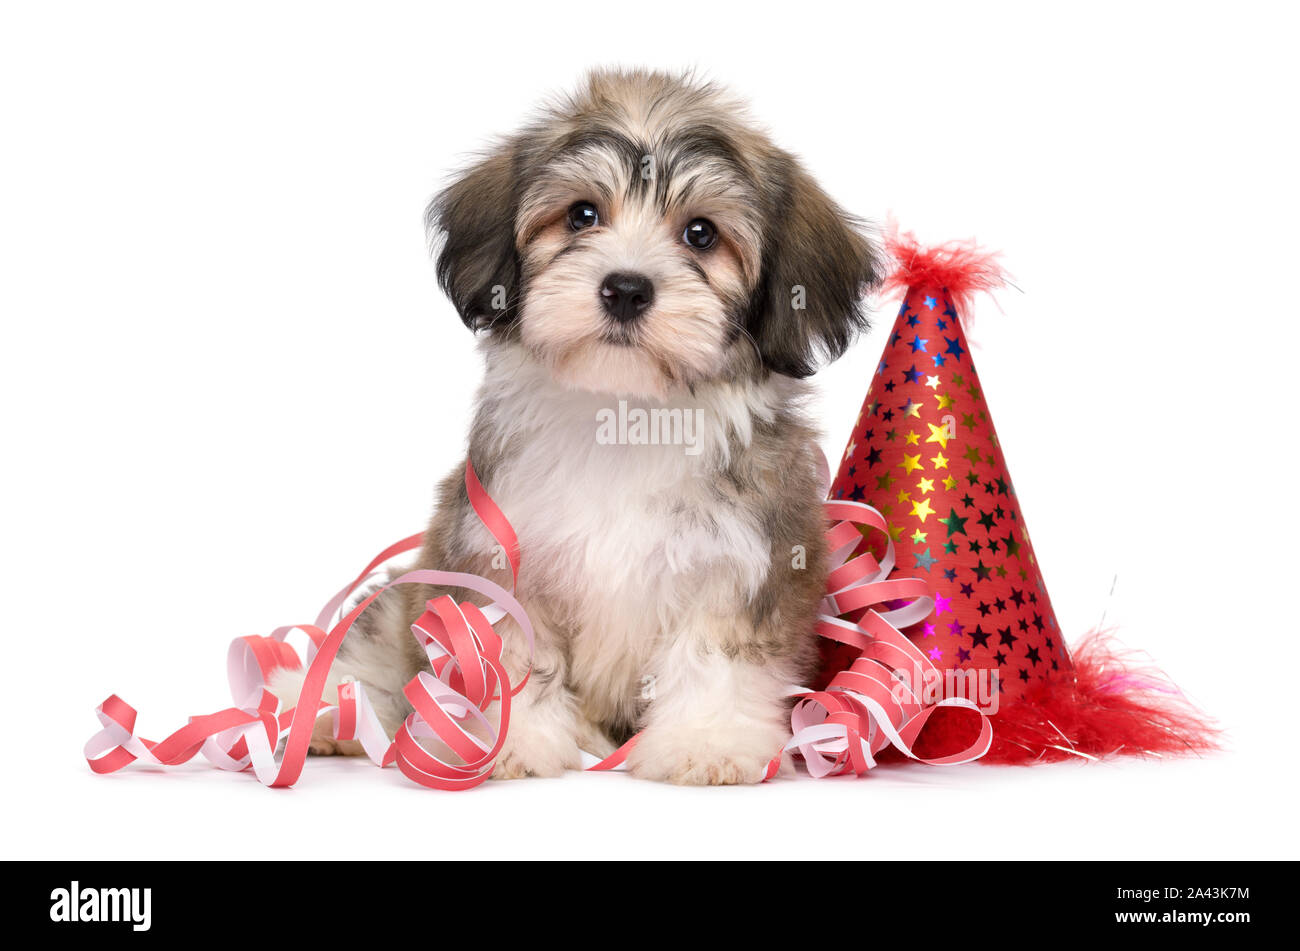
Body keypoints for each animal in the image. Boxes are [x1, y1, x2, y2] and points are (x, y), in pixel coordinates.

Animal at [274, 64, 883, 779]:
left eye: (701, 233)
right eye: (582, 214)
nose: (626, 288)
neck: (623, 414)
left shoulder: (745, 560)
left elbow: (716, 659)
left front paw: (707, 741)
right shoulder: (496, 552)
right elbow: (508, 657)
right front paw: (504, 741)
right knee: (374, 650)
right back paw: (318, 710)